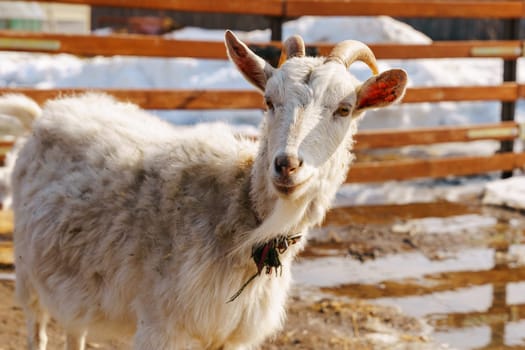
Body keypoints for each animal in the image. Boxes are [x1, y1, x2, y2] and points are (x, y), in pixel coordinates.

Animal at [6, 31, 408, 348]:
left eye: (344, 109)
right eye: (269, 101)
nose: (287, 165)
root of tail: (43, 115)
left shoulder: (233, 337)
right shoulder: (162, 327)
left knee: (74, 330)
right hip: (27, 272)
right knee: (37, 329)